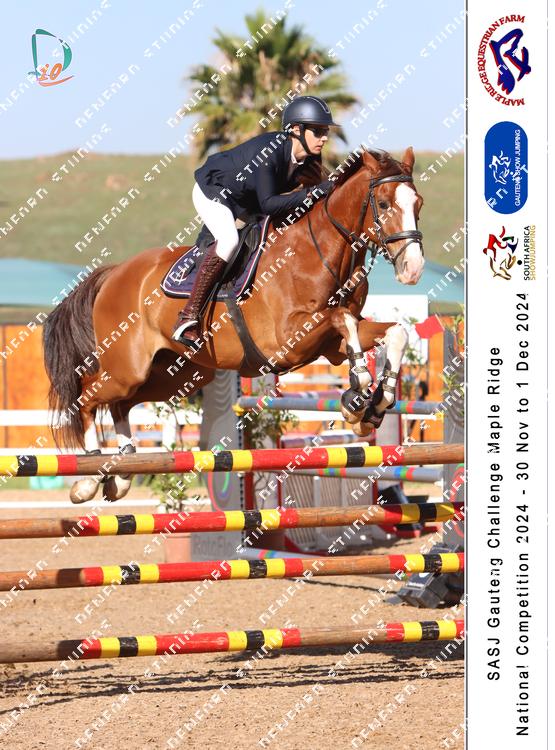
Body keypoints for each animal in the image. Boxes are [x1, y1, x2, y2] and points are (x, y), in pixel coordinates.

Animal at [42, 147, 424, 503]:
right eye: (384, 203)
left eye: (418, 203)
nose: (413, 269)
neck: (320, 251)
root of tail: (113, 274)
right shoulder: (287, 341)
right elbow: (341, 318)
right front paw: (358, 387)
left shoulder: (329, 345)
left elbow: (392, 331)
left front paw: (377, 400)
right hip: (127, 368)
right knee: (87, 397)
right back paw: (89, 478)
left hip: (175, 374)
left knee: (120, 404)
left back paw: (121, 472)